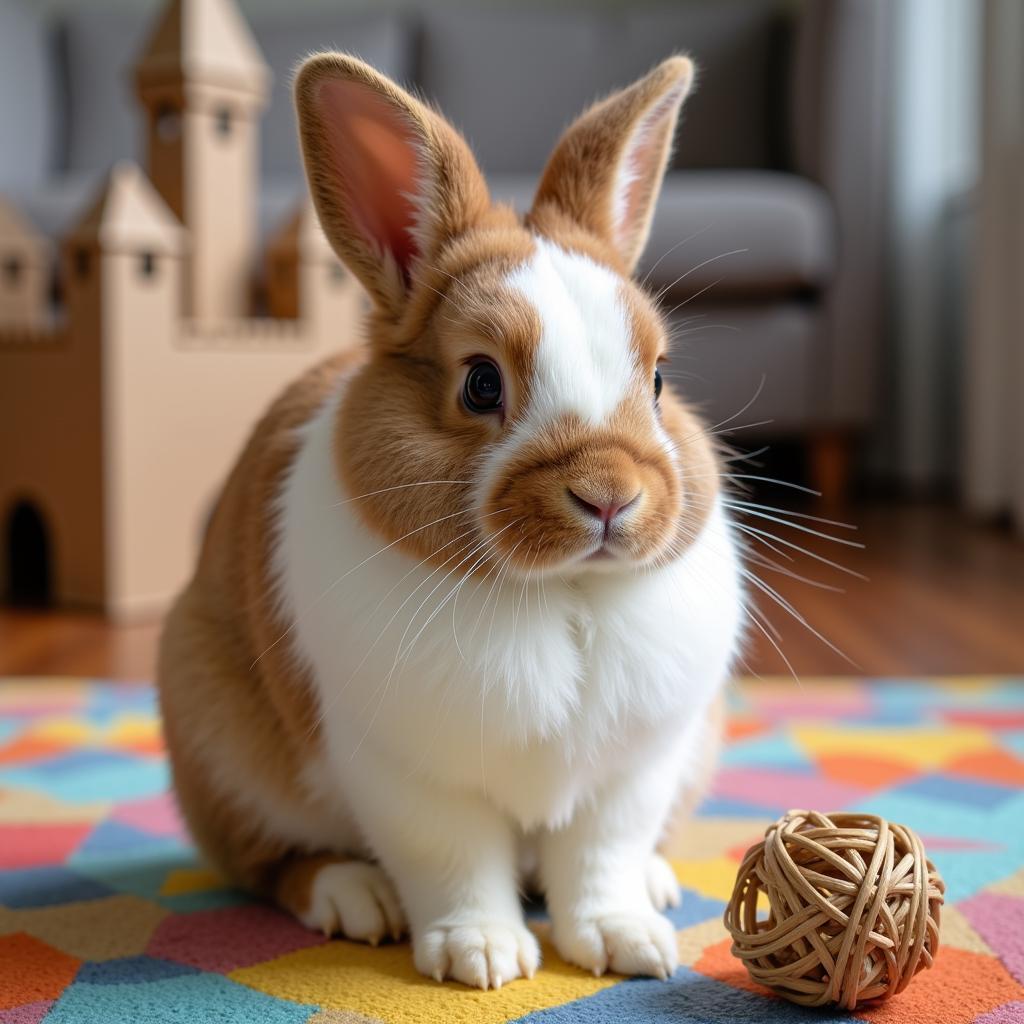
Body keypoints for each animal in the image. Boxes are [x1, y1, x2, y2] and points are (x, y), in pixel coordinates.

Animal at [159, 51, 749, 987]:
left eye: (658, 379)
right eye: (480, 383)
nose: (610, 494)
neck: (562, 592)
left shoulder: (632, 772)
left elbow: (601, 858)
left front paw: (626, 946)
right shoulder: (410, 776)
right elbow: (452, 862)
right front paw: (482, 956)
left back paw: (656, 888)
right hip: (216, 737)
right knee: (269, 864)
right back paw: (355, 898)